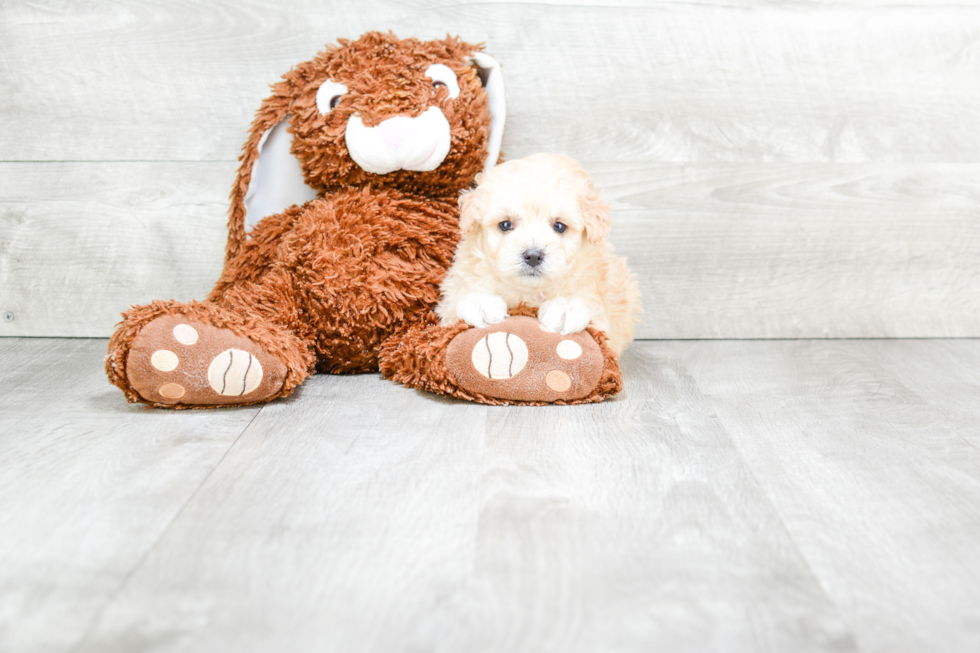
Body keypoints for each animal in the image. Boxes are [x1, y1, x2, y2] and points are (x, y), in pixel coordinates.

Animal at [438, 152, 640, 356]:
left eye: (559, 226)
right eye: (505, 224)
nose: (533, 256)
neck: (528, 293)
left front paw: (566, 305)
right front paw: (480, 301)